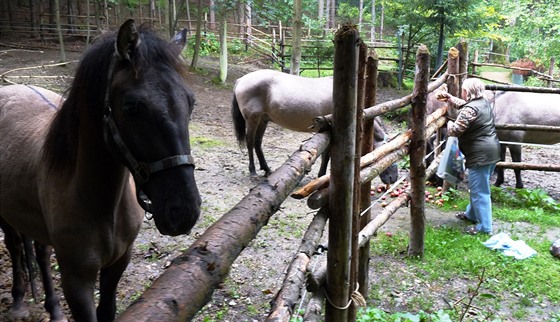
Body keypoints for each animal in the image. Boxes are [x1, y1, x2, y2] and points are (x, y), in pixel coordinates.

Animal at [0, 20, 201, 322]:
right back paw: (18, 300)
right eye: (131, 107)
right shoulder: (77, 280)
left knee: (41, 252)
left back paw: (53, 309)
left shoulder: (117, 264)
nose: (184, 210)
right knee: (14, 246)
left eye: (190, 102)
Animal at [231, 69, 398, 182]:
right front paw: (321, 175)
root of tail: (241, 80)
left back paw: (267, 169)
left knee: (257, 143)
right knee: (250, 142)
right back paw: (253, 171)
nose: (393, 179)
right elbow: (327, 155)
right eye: (385, 151)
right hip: (253, 119)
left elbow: (326, 155)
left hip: (263, 120)